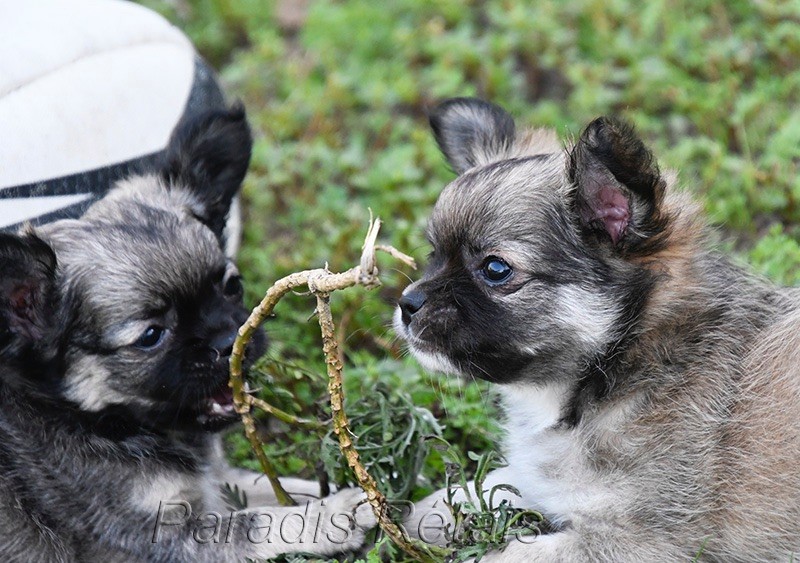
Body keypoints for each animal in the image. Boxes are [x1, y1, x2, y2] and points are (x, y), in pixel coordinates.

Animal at [0, 107, 376, 563]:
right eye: (151, 336)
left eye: (232, 286)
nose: (228, 343)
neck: (91, 420)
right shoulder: (152, 539)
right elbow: (257, 523)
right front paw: (334, 514)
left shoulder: (214, 483)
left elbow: (273, 488)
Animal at [396, 99, 800, 560]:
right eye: (434, 255)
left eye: (496, 269)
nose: (407, 304)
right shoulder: (545, 482)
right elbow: (474, 491)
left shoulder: (638, 540)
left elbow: (507, 552)